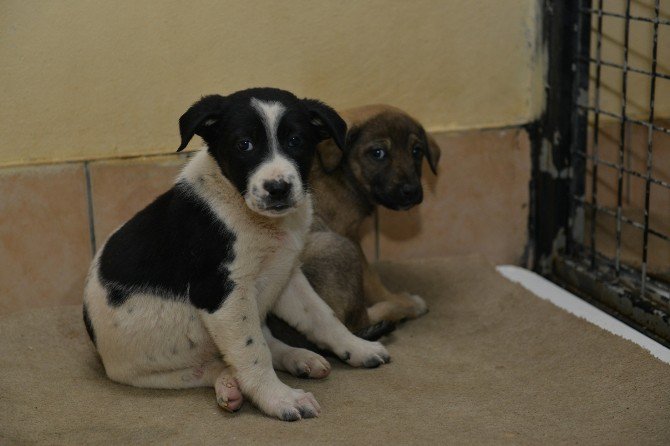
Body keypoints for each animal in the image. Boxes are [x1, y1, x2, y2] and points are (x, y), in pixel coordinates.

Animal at [82, 88, 392, 422]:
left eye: (295, 141)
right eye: (244, 145)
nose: (278, 188)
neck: (254, 217)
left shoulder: (286, 274)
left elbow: (322, 316)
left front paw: (356, 347)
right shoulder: (222, 294)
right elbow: (252, 352)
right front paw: (279, 398)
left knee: (265, 343)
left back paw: (298, 358)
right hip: (158, 373)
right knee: (221, 366)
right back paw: (231, 386)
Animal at [270, 103, 444, 342]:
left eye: (416, 152)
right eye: (378, 153)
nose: (411, 192)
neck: (342, 172)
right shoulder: (349, 237)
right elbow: (372, 280)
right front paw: (398, 299)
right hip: (335, 246)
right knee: (354, 322)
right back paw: (403, 307)